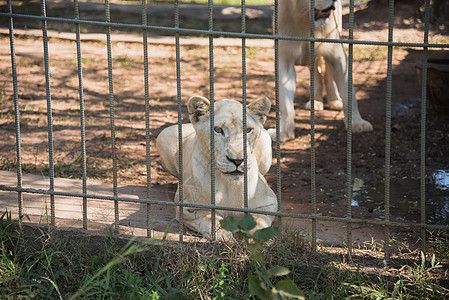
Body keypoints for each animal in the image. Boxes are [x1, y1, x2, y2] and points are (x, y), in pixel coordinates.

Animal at [157, 96, 276, 241]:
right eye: (218, 130)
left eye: (248, 130)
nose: (237, 160)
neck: (229, 184)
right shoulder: (185, 207)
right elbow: (208, 218)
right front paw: (223, 234)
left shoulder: (270, 203)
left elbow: (259, 220)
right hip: (164, 135)